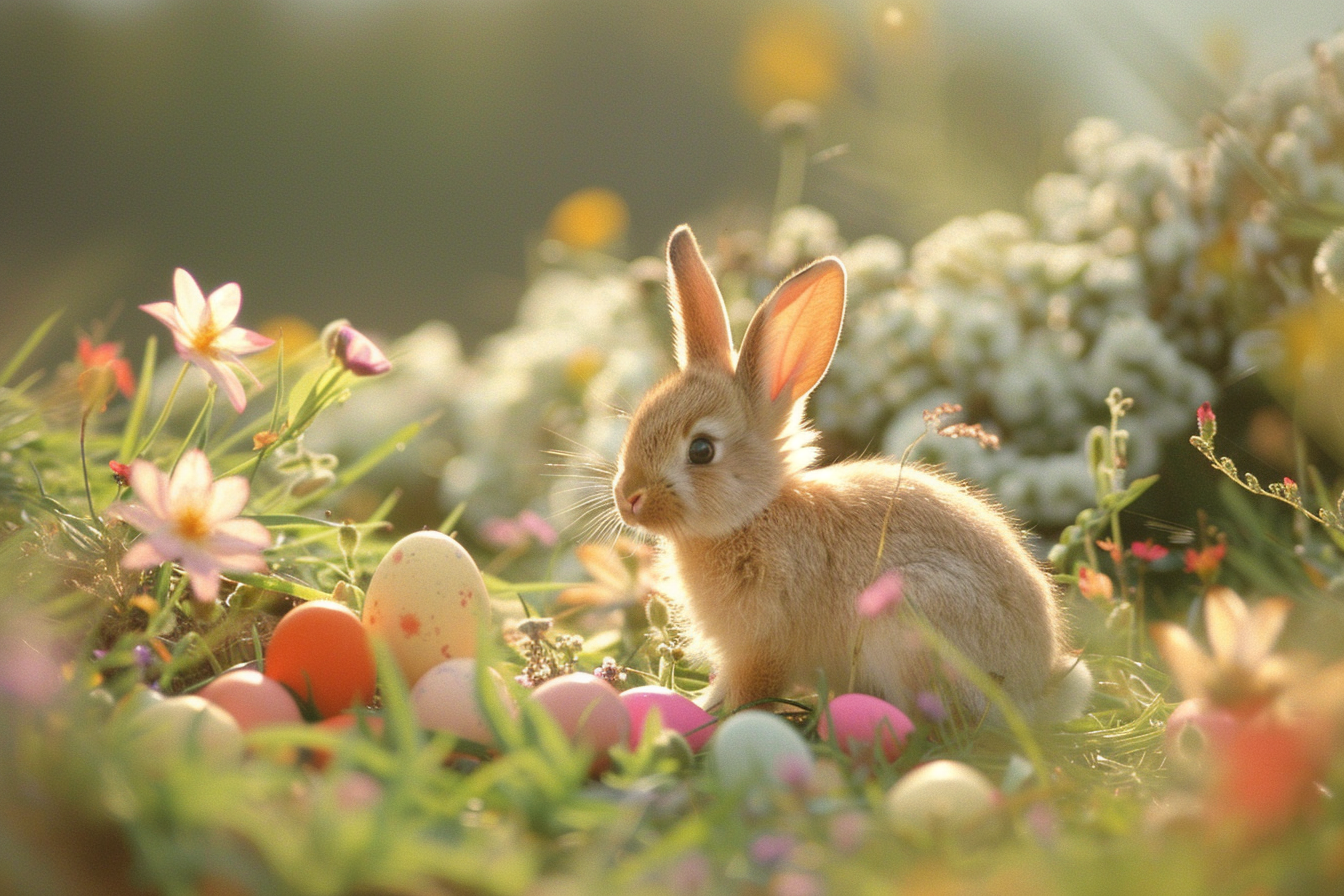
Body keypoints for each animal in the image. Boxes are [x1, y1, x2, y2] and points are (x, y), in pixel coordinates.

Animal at [612, 224, 1092, 724]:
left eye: (702, 450)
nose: (627, 497)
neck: (754, 514)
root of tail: (1035, 689)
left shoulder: (764, 645)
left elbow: (750, 691)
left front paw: (709, 717)